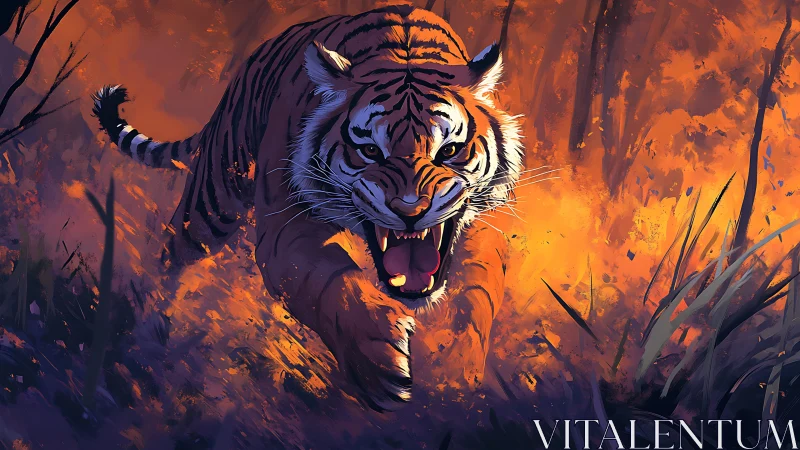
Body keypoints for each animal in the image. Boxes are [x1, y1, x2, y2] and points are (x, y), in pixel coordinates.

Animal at [91, 5, 522, 412]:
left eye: (449, 150)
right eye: (370, 151)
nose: (410, 211)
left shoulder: (485, 228)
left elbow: (476, 296)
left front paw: (456, 369)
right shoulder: (286, 231)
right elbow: (332, 285)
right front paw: (380, 365)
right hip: (213, 197)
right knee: (175, 255)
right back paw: (148, 339)